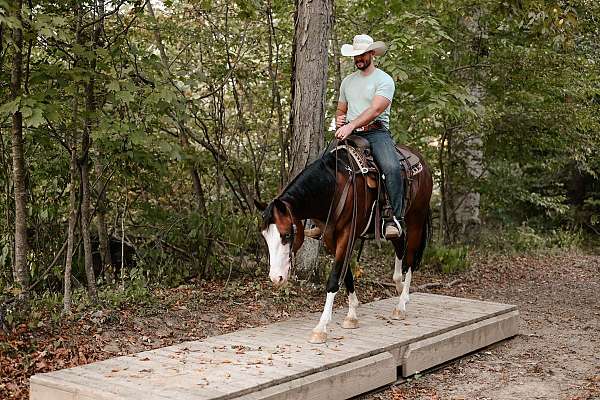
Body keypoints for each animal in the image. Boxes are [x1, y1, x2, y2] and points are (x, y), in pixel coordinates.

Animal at [253, 138, 432, 344]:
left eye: (287, 235)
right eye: (265, 236)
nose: (276, 278)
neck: (333, 188)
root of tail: (421, 161)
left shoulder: (347, 234)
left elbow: (334, 278)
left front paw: (321, 327)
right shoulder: (331, 238)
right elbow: (346, 274)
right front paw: (352, 315)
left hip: (416, 218)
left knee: (410, 258)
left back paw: (401, 304)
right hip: (395, 226)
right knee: (400, 245)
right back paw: (399, 286)